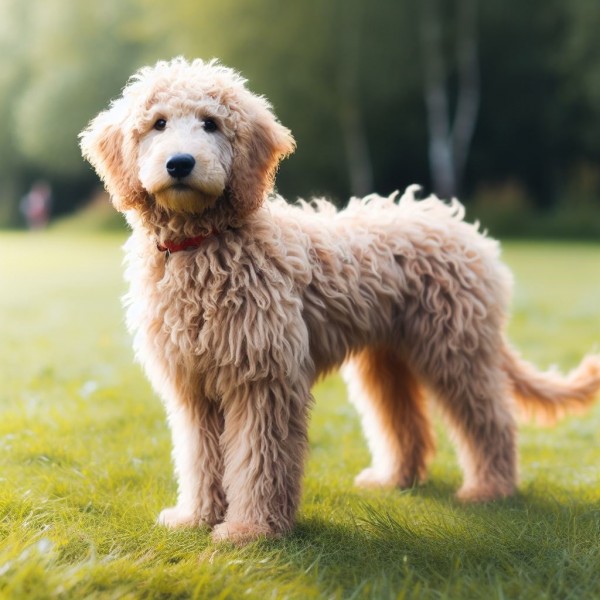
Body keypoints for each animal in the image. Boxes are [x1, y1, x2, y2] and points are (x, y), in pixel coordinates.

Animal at [81, 56, 600, 544]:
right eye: (158, 123)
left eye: (211, 122)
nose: (180, 163)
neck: (206, 245)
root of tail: (462, 228)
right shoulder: (194, 386)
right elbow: (200, 457)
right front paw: (196, 518)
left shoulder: (263, 380)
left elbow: (258, 457)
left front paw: (250, 529)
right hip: (387, 361)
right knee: (405, 422)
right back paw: (395, 479)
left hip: (455, 348)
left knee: (490, 420)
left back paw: (490, 488)